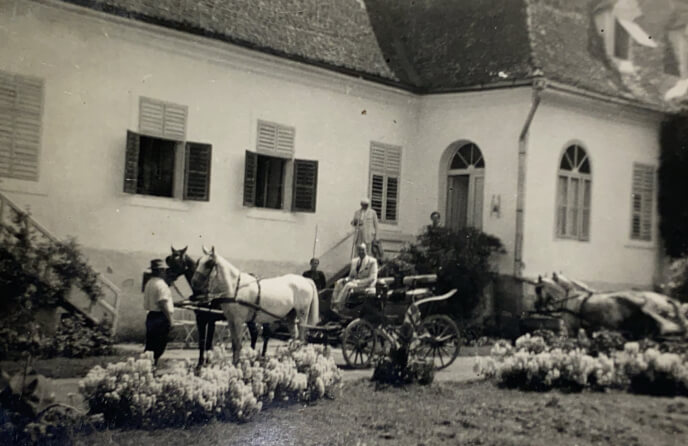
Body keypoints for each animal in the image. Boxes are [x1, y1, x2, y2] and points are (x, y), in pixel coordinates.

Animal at [191, 247, 320, 362]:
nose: (194, 282)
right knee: (294, 335)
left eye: (209, 263)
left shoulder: (238, 321)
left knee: (302, 337)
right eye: (198, 261)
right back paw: (290, 357)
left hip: (302, 314)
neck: (235, 288)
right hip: (291, 315)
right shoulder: (231, 320)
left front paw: (236, 365)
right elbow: (234, 344)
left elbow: (237, 344)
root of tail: (305, 280)